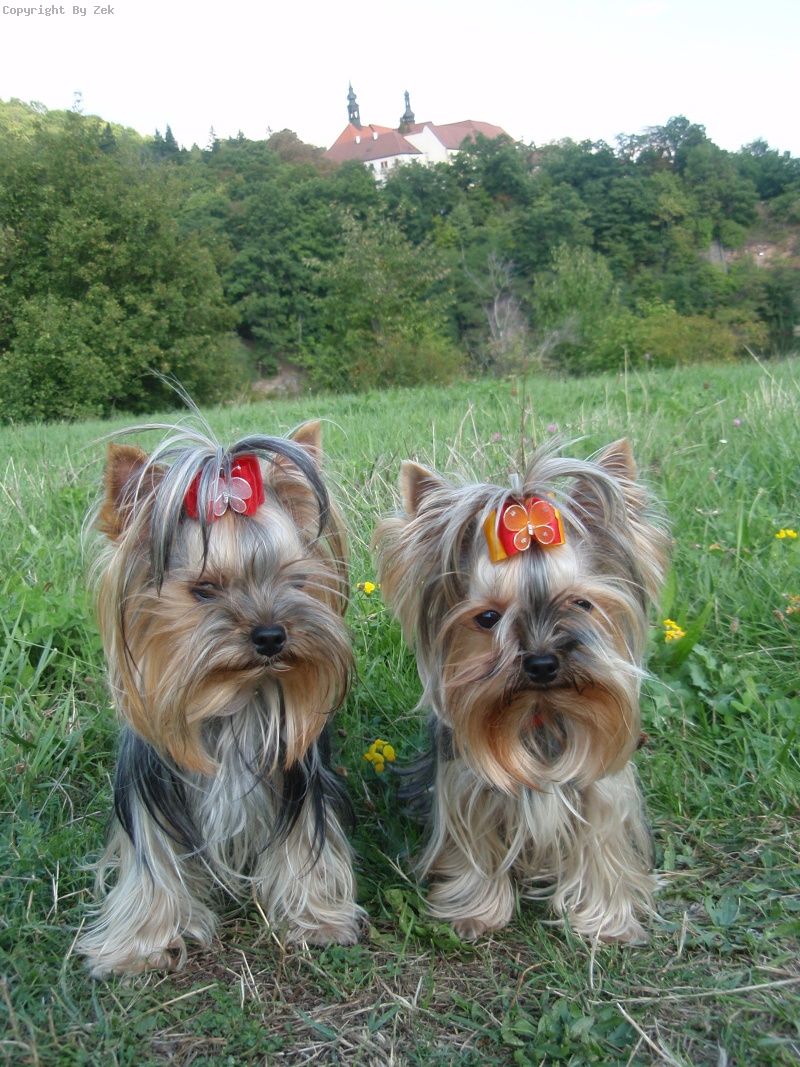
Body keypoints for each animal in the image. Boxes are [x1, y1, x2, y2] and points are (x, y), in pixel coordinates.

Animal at [78, 420, 365, 977]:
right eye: (204, 590)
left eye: (294, 579)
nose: (272, 635)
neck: (232, 697)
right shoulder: (151, 795)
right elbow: (154, 863)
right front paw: (140, 945)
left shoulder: (299, 784)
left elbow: (305, 844)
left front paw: (317, 921)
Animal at [375, 439, 668, 943]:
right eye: (489, 618)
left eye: (581, 603)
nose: (542, 662)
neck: (538, 712)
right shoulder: (466, 788)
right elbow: (473, 847)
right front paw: (476, 911)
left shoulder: (602, 793)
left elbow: (602, 848)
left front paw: (605, 921)